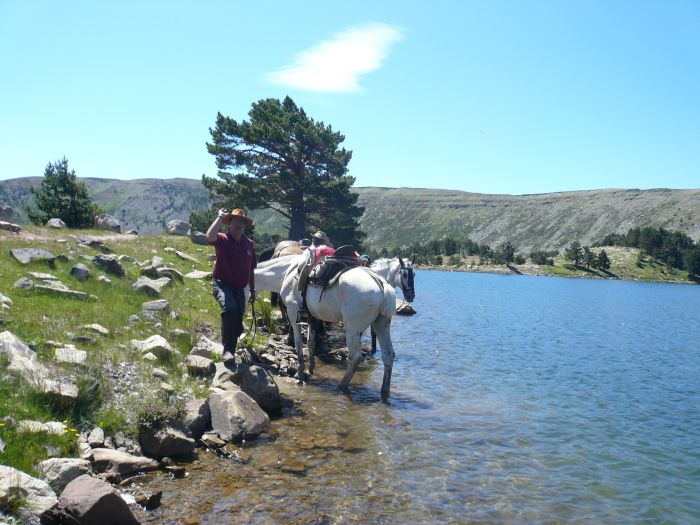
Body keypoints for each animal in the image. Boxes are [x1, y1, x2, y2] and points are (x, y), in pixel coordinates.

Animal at [253, 254, 396, 398]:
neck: (288, 272)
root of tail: (380, 283)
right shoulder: (313, 318)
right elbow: (310, 342)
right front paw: (311, 369)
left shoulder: (293, 315)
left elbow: (298, 345)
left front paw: (300, 372)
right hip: (381, 324)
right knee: (388, 355)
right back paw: (385, 391)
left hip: (353, 329)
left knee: (355, 357)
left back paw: (342, 386)